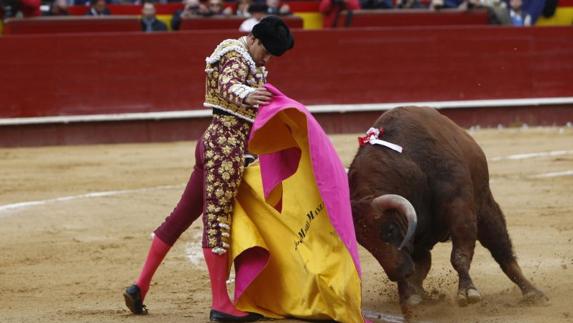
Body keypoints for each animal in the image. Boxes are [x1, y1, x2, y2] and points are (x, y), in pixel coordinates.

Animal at [348, 106, 544, 308]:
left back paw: (531, 292)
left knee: (502, 249)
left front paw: (467, 292)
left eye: (389, 229)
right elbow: (419, 266)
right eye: (364, 243)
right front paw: (410, 296)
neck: (411, 165)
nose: (398, 273)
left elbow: (459, 255)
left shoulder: (460, 209)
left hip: (485, 210)